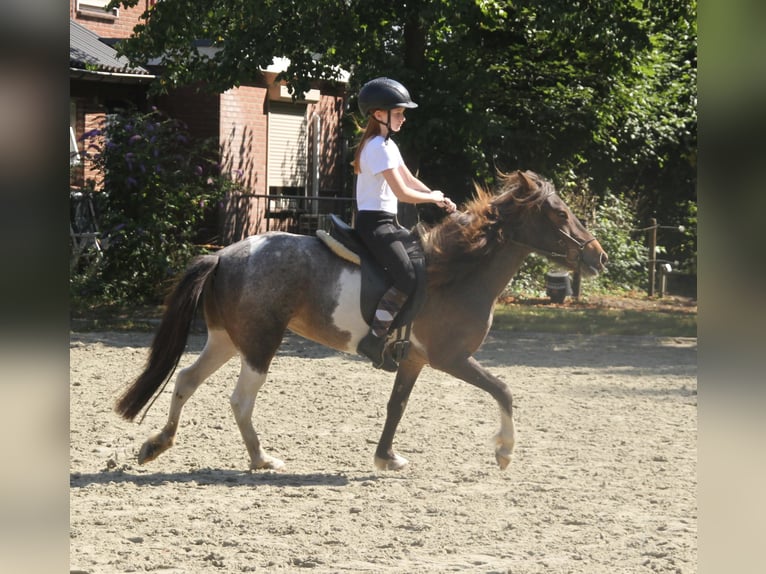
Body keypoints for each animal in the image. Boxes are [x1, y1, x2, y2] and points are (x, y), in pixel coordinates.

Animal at [115, 170, 607, 472]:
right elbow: (503, 389)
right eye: (560, 213)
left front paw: (386, 457)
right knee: (240, 400)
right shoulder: (450, 358)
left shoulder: (415, 360)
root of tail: (221, 255)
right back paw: (261, 459)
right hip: (259, 343)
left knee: (186, 379)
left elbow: (396, 406)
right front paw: (504, 451)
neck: (458, 271)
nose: (598, 256)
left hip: (226, 339)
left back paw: (158, 443)